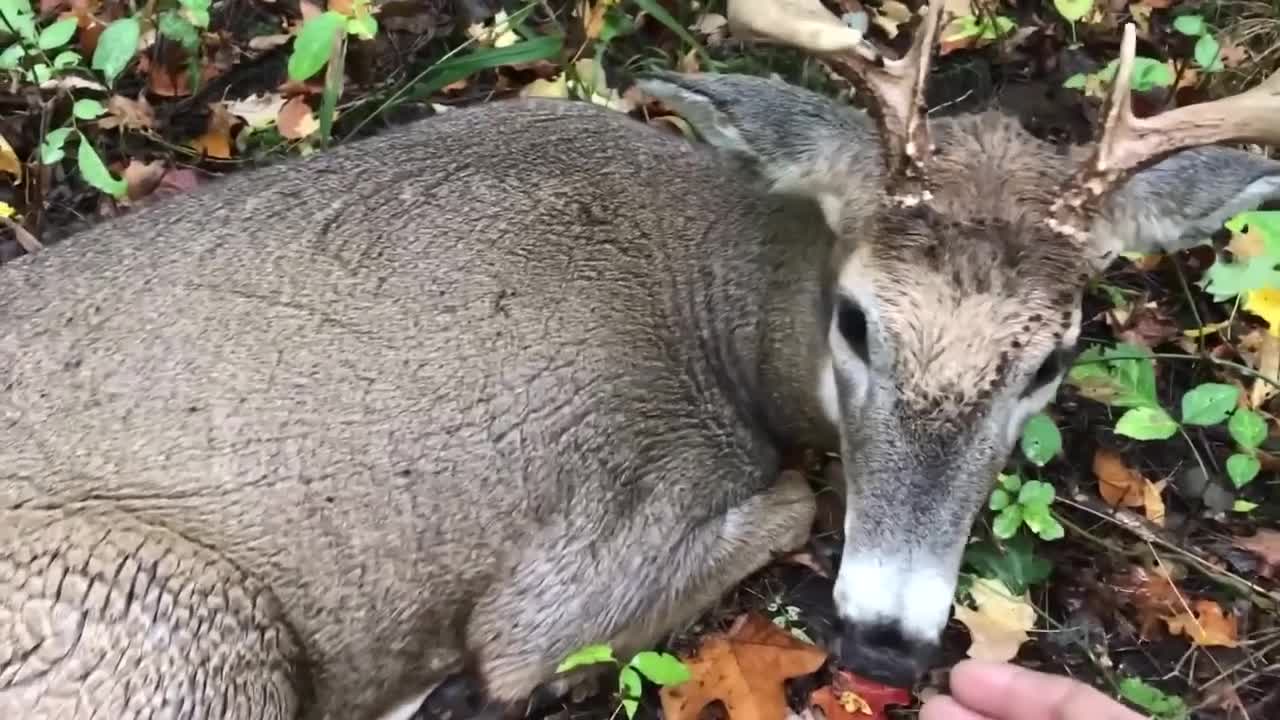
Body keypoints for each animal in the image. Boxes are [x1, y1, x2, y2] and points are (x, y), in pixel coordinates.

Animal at [0, 0, 1274, 712]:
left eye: (1050, 358)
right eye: (853, 319)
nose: (885, 636)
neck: (717, 318)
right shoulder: (576, 548)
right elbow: (787, 503)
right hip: (180, 626)